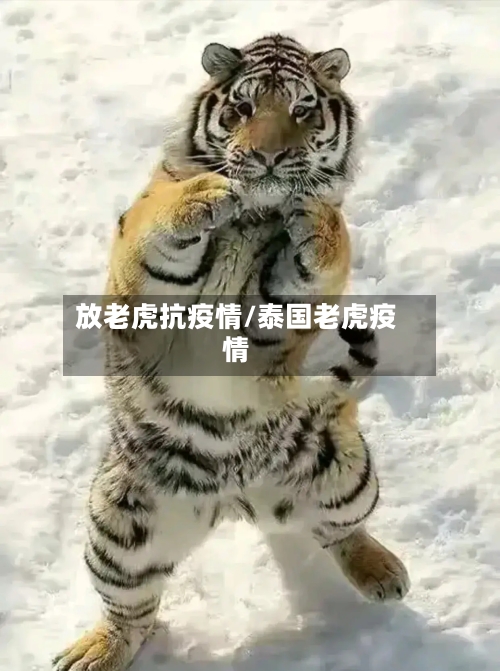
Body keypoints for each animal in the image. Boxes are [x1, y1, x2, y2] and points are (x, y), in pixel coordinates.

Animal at [54, 33, 410, 671]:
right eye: (242, 108)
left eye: (302, 109)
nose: (267, 159)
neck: (253, 217)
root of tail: (238, 501)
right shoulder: (143, 278)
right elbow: (160, 218)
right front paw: (205, 194)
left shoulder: (276, 313)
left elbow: (327, 241)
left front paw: (315, 214)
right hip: (116, 531)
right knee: (132, 615)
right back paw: (94, 653)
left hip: (347, 471)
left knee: (339, 530)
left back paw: (384, 572)